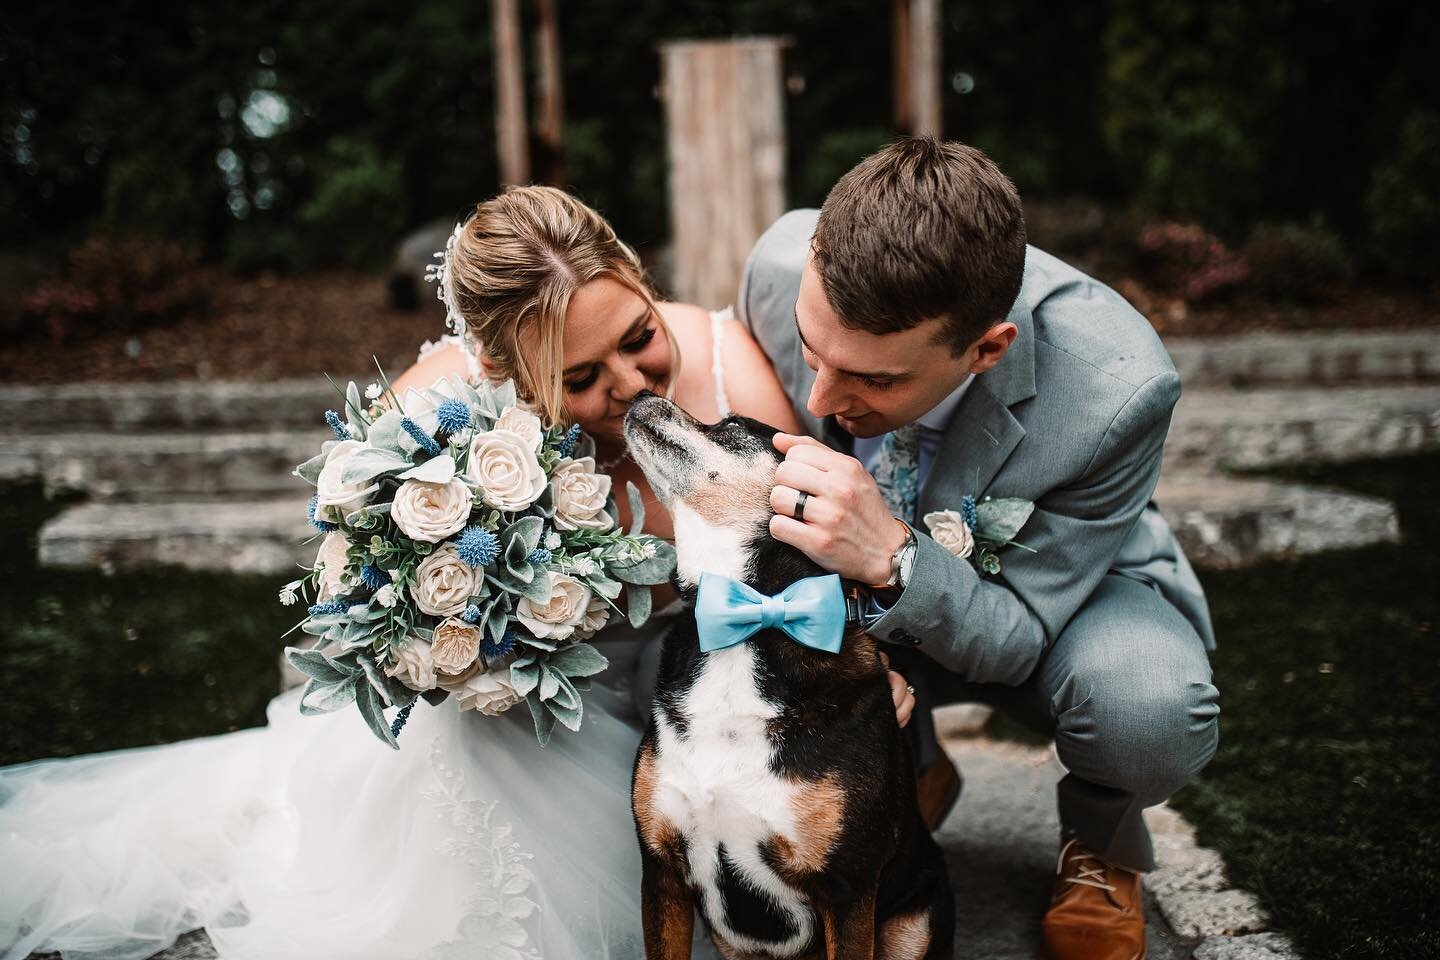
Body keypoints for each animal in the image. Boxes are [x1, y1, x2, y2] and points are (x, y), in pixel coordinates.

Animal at [622, 391, 950, 960]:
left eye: (732, 424)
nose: (642, 393)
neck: (754, 617)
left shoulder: (847, 889)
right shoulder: (662, 875)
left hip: (916, 921)